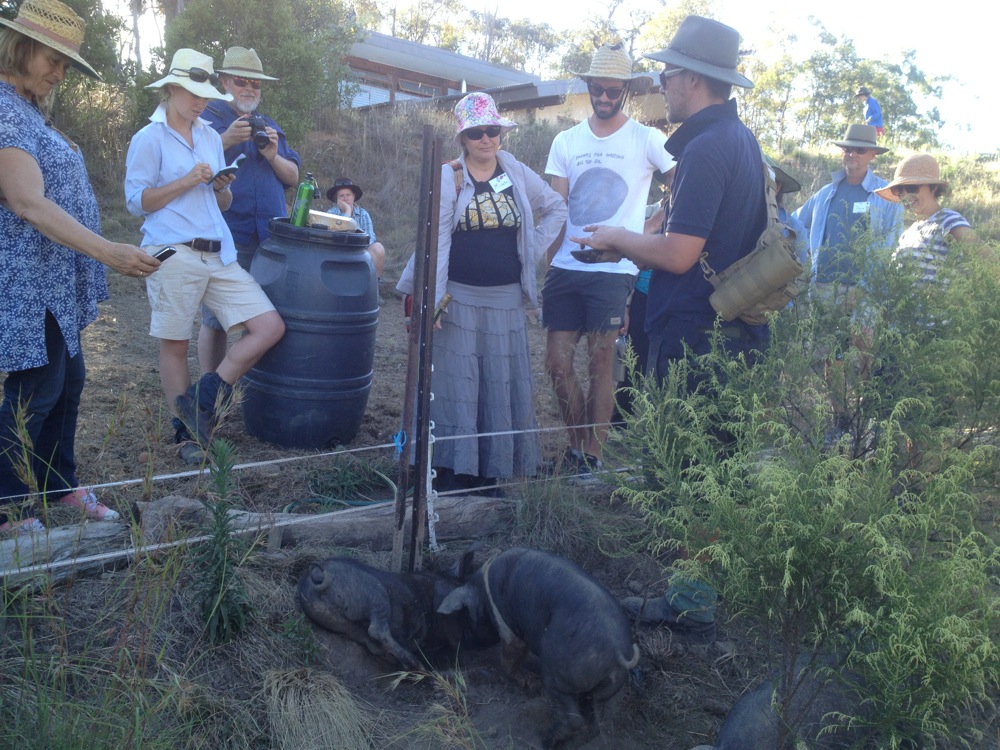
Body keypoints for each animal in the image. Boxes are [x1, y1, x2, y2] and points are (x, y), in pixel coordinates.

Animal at [438, 548, 640, 748]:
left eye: (466, 616)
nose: (466, 643)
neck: (483, 591)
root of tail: (616, 651)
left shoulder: (508, 629)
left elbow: (511, 658)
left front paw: (529, 682)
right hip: (608, 686)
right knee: (597, 718)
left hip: (558, 675)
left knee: (574, 718)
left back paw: (547, 740)